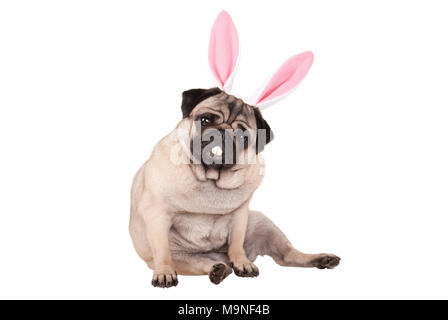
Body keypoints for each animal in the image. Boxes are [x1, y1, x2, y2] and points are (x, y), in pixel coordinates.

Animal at [129, 87, 340, 288]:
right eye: (204, 120)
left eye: (242, 135)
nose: (222, 132)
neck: (210, 177)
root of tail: (218, 256)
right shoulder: (157, 214)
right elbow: (162, 250)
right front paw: (164, 272)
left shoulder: (240, 216)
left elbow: (237, 244)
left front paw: (242, 263)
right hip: (184, 260)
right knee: (206, 264)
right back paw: (217, 269)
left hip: (263, 223)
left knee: (287, 256)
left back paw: (322, 259)